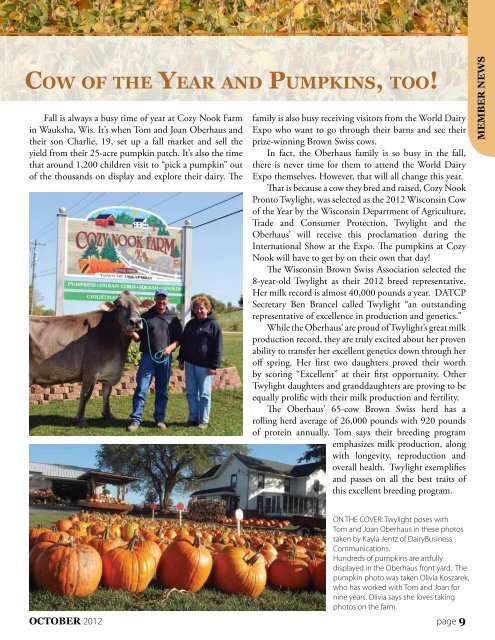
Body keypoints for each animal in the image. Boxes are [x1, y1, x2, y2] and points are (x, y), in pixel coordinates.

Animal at [30, 292, 154, 424]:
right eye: (119, 306)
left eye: (139, 305)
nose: (135, 321)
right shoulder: (91, 370)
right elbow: (86, 394)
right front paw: (80, 420)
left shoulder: (110, 371)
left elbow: (107, 393)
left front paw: (108, 415)